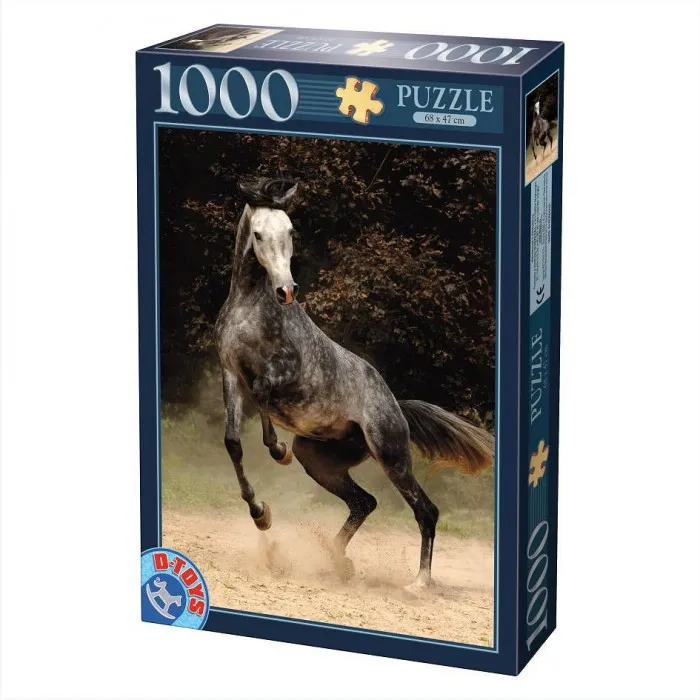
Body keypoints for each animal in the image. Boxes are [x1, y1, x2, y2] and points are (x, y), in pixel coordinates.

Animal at [214, 177, 494, 593]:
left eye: (291, 231)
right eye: (260, 234)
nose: (286, 290)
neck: (251, 308)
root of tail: (396, 406)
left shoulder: (286, 370)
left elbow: (263, 390)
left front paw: (277, 451)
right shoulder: (231, 373)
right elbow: (233, 443)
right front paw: (260, 513)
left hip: (391, 455)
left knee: (426, 511)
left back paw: (418, 584)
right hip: (320, 460)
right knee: (365, 503)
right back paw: (339, 563)